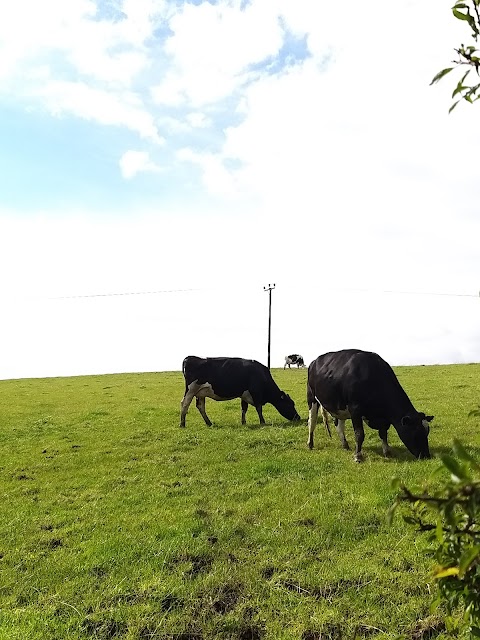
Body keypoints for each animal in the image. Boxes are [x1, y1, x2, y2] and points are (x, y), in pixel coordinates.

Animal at [308, 348, 436, 462]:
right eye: (416, 432)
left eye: (427, 432)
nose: (426, 456)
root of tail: (314, 361)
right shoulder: (355, 410)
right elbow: (359, 434)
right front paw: (358, 456)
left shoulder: (383, 417)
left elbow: (383, 433)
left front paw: (387, 452)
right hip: (312, 398)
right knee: (312, 422)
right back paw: (310, 444)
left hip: (340, 406)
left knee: (339, 425)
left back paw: (345, 445)